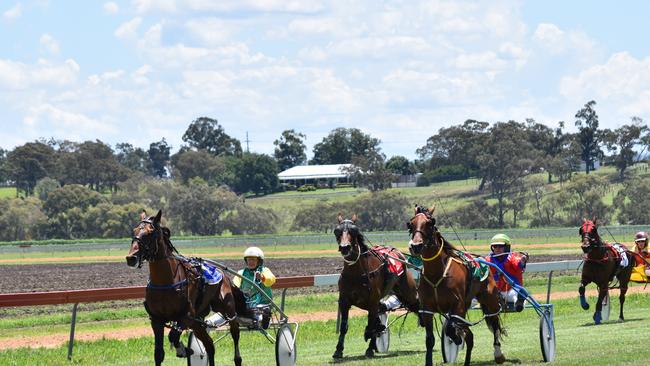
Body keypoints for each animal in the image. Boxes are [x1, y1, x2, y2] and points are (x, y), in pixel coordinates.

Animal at [125, 210, 249, 366]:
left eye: (150, 233)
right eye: (134, 230)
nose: (131, 258)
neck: (164, 283)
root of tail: (223, 274)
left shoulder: (185, 317)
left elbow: (173, 336)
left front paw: (183, 349)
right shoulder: (156, 320)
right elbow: (159, 353)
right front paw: (183, 349)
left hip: (227, 311)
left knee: (235, 334)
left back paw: (237, 358)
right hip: (197, 322)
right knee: (209, 344)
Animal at [332, 213, 418, 358]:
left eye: (353, 230)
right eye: (337, 231)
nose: (345, 247)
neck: (356, 273)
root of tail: (398, 253)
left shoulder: (372, 302)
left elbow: (372, 324)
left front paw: (370, 348)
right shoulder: (345, 301)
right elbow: (344, 326)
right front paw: (338, 350)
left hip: (409, 292)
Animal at [408, 206, 504, 366]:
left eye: (430, 223)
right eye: (410, 224)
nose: (416, 246)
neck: (437, 274)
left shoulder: (456, 306)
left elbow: (450, 330)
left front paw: (457, 338)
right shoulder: (427, 309)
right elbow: (430, 340)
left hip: (489, 300)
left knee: (494, 322)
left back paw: (498, 353)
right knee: (470, 336)